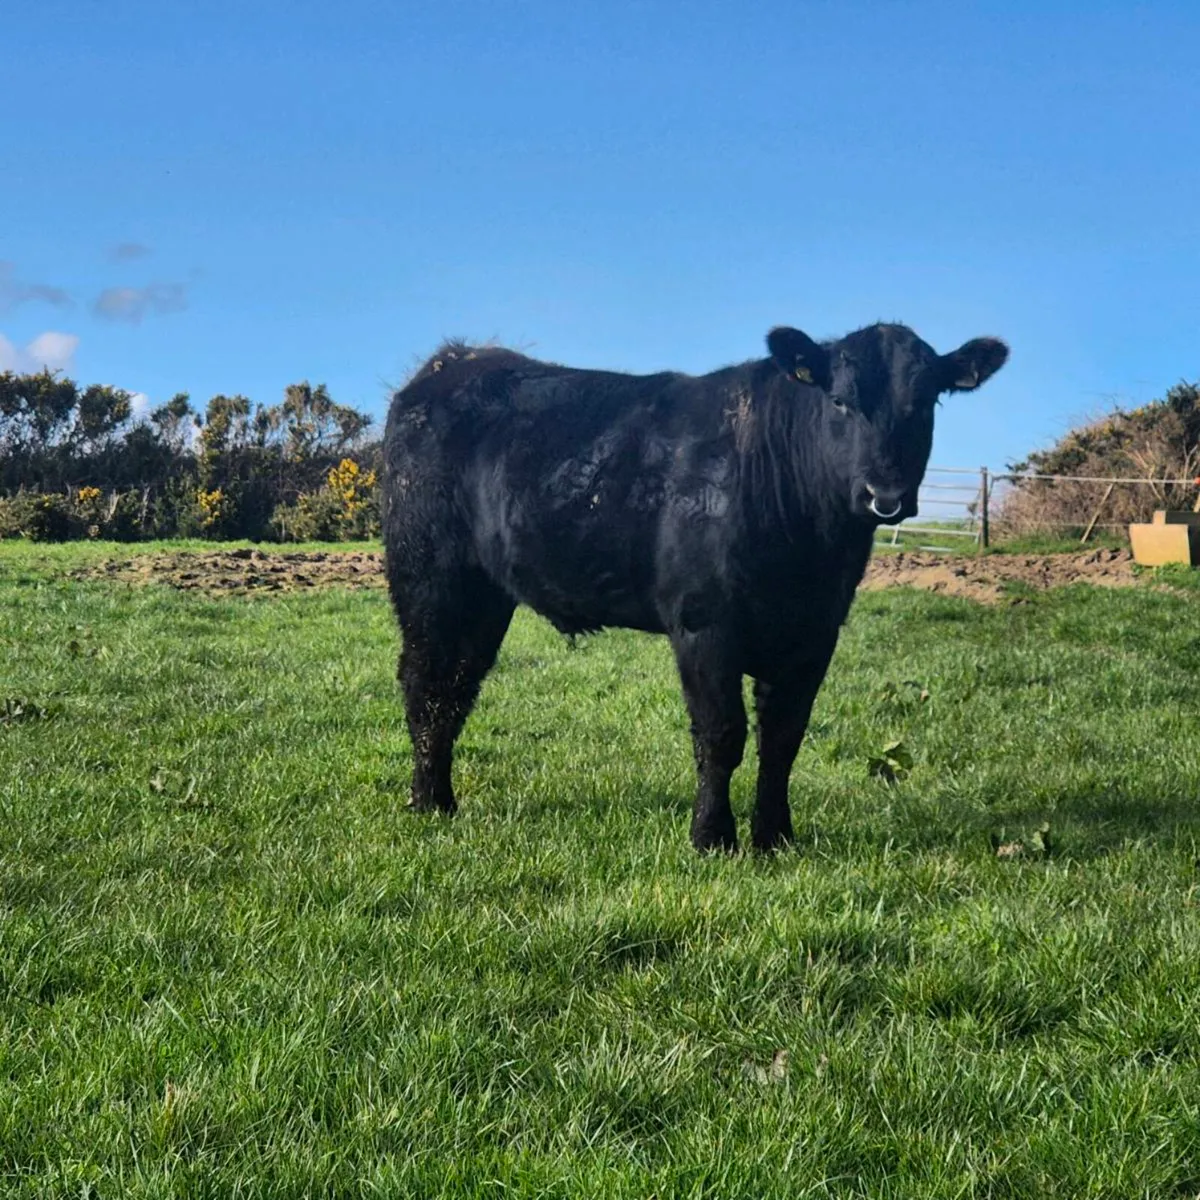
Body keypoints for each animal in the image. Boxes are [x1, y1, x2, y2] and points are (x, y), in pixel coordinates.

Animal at [382, 322, 1008, 853]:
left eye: (923, 403)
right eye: (839, 401)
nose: (885, 494)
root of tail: (454, 361)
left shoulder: (816, 631)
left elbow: (783, 739)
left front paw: (775, 837)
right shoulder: (704, 623)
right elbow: (721, 733)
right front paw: (712, 837)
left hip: (484, 594)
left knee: (458, 683)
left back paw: (439, 795)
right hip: (429, 574)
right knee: (426, 682)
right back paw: (428, 801)